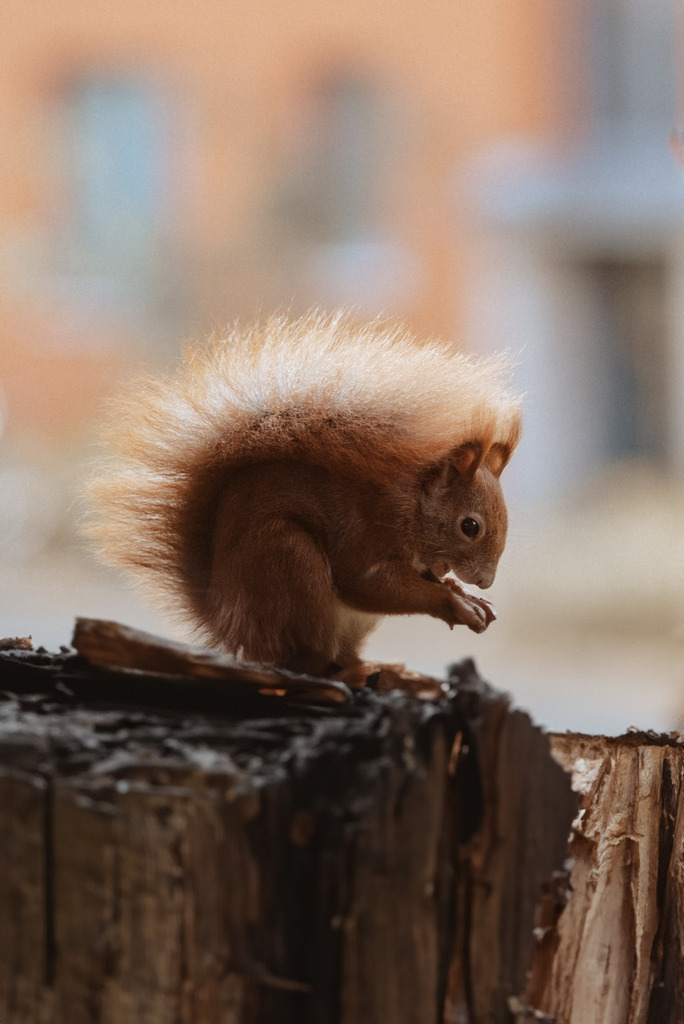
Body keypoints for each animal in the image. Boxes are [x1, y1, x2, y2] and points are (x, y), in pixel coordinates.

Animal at [86, 311, 521, 681]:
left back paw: (374, 668)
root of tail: (226, 622)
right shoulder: (365, 532)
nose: (485, 582)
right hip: (288, 562)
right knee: (305, 660)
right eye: (470, 526)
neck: (412, 507)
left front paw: (464, 594)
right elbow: (369, 586)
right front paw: (455, 604)